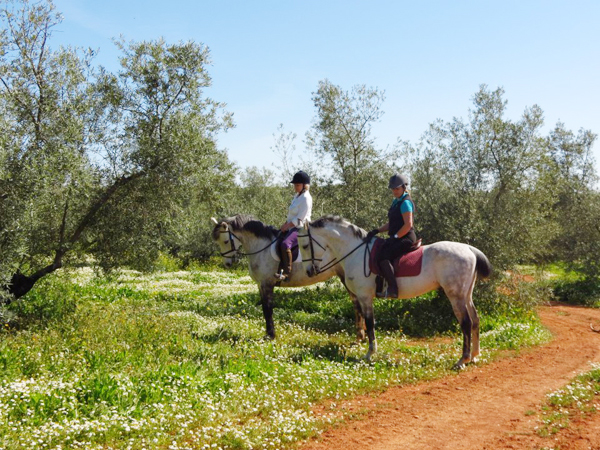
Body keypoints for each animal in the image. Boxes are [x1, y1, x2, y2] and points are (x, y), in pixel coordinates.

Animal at [211, 214, 370, 342]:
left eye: (225, 241)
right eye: (218, 242)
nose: (228, 263)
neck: (261, 246)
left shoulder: (267, 284)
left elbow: (267, 309)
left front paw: (271, 335)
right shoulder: (260, 285)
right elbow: (264, 308)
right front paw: (268, 334)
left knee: (357, 305)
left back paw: (359, 337)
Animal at [300, 215, 492, 370]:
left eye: (304, 245)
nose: (309, 271)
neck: (355, 251)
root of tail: (469, 249)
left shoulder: (365, 297)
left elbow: (369, 323)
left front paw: (370, 354)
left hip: (455, 296)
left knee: (466, 323)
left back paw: (462, 359)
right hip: (466, 295)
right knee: (475, 320)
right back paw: (475, 355)